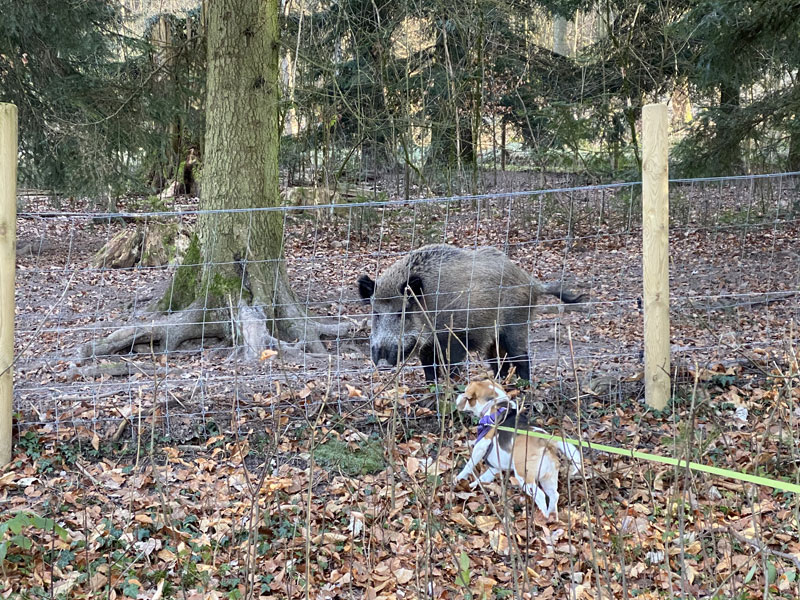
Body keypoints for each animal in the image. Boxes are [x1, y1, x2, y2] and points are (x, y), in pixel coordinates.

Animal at [456, 382, 580, 516]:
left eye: (466, 392)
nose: (457, 397)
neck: (496, 403)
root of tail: (545, 440)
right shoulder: (495, 466)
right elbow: (483, 478)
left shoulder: (482, 445)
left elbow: (469, 465)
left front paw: (459, 479)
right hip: (548, 477)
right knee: (554, 495)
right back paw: (551, 517)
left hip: (524, 476)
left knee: (540, 496)